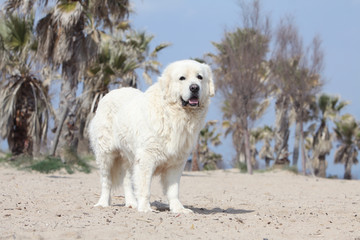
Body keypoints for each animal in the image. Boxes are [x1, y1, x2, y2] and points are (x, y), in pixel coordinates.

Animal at [88, 59, 215, 213]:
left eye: (199, 77)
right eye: (182, 78)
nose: (195, 88)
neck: (173, 115)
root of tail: (110, 94)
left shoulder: (176, 162)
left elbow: (173, 190)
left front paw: (178, 209)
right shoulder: (146, 158)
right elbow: (144, 188)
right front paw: (145, 208)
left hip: (128, 157)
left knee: (126, 181)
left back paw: (131, 203)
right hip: (106, 154)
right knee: (106, 181)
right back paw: (103, 203)